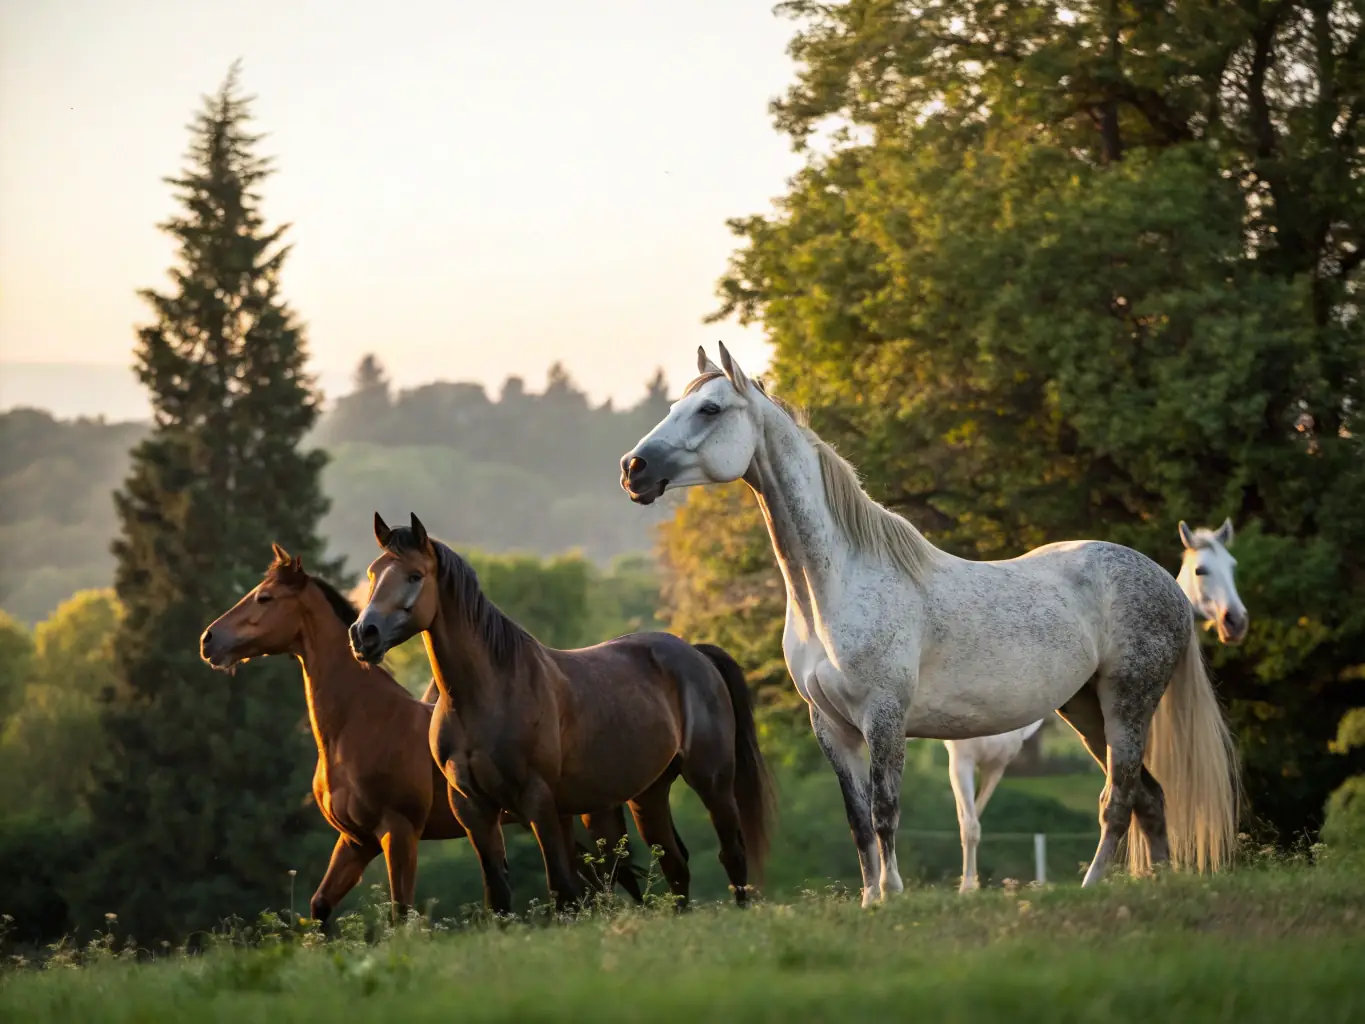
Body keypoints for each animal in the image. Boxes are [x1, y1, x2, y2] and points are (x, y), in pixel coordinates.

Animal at [199, 545, 647, 930]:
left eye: (264, 598)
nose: (208, 640)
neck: (361, 724)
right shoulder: (356, 840)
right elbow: (321, 906)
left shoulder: (398, 833)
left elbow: (402, 913)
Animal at [348, 513, 776, 914]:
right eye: (372, 573)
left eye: (415, 575)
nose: (363, 634)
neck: (485, 695)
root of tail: (696, 654)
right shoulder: (472, 808)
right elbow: (498, 895)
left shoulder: (538, 801)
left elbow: (563, 888)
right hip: (648, 794)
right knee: (675, 864)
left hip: (712, 780)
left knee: (731, 854)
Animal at [944, 517, 1249, 892]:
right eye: (1201, 569)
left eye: (1232, 566)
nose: (1236, 621)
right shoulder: (961, 759)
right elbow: (968, 824)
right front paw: (966, 889)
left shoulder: (995, 765)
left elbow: (974, 821)